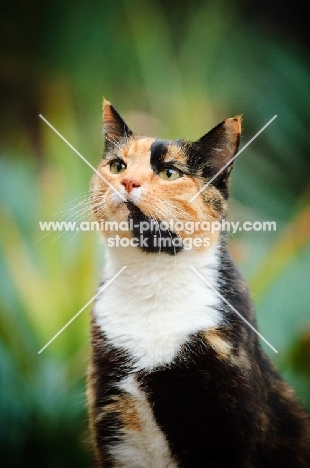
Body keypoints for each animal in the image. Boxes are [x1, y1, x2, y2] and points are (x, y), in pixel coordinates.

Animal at [87, 100, 310, 466]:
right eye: (118, 166)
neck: (151, 281)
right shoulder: (113, 421)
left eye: (170, 173)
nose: (128, 182)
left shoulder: (223, 427)